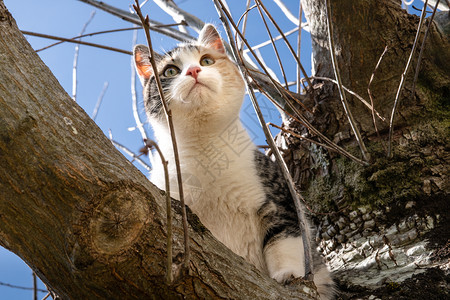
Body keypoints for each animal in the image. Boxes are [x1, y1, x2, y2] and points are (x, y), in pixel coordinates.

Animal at [134, 24, 334, 300]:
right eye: (171, 71)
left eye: (206, 60)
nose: (194, 70)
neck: (206, 149)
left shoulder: (280, 196)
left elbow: (284, 240)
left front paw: (287, 275)